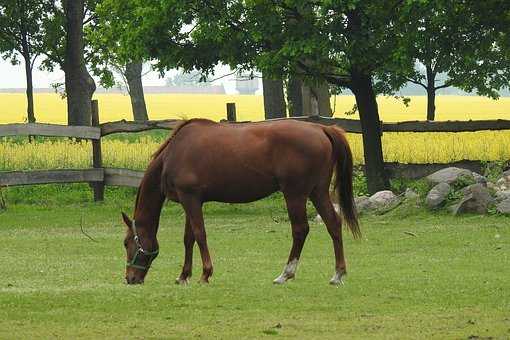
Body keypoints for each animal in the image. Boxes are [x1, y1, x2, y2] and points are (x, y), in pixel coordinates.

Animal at [120, 118, 358, 286]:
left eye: (126, 242)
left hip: (295, 194)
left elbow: (199, 235)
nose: (130, 278)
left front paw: (205, 274)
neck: (174, 153)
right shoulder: (191, 201)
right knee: (333, 224)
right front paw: (184, 275)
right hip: (317, 192)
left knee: (300, 230)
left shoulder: (191, 199)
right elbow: (189, 238)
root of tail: (321, 129)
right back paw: (338, 274)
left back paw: (285, 274)